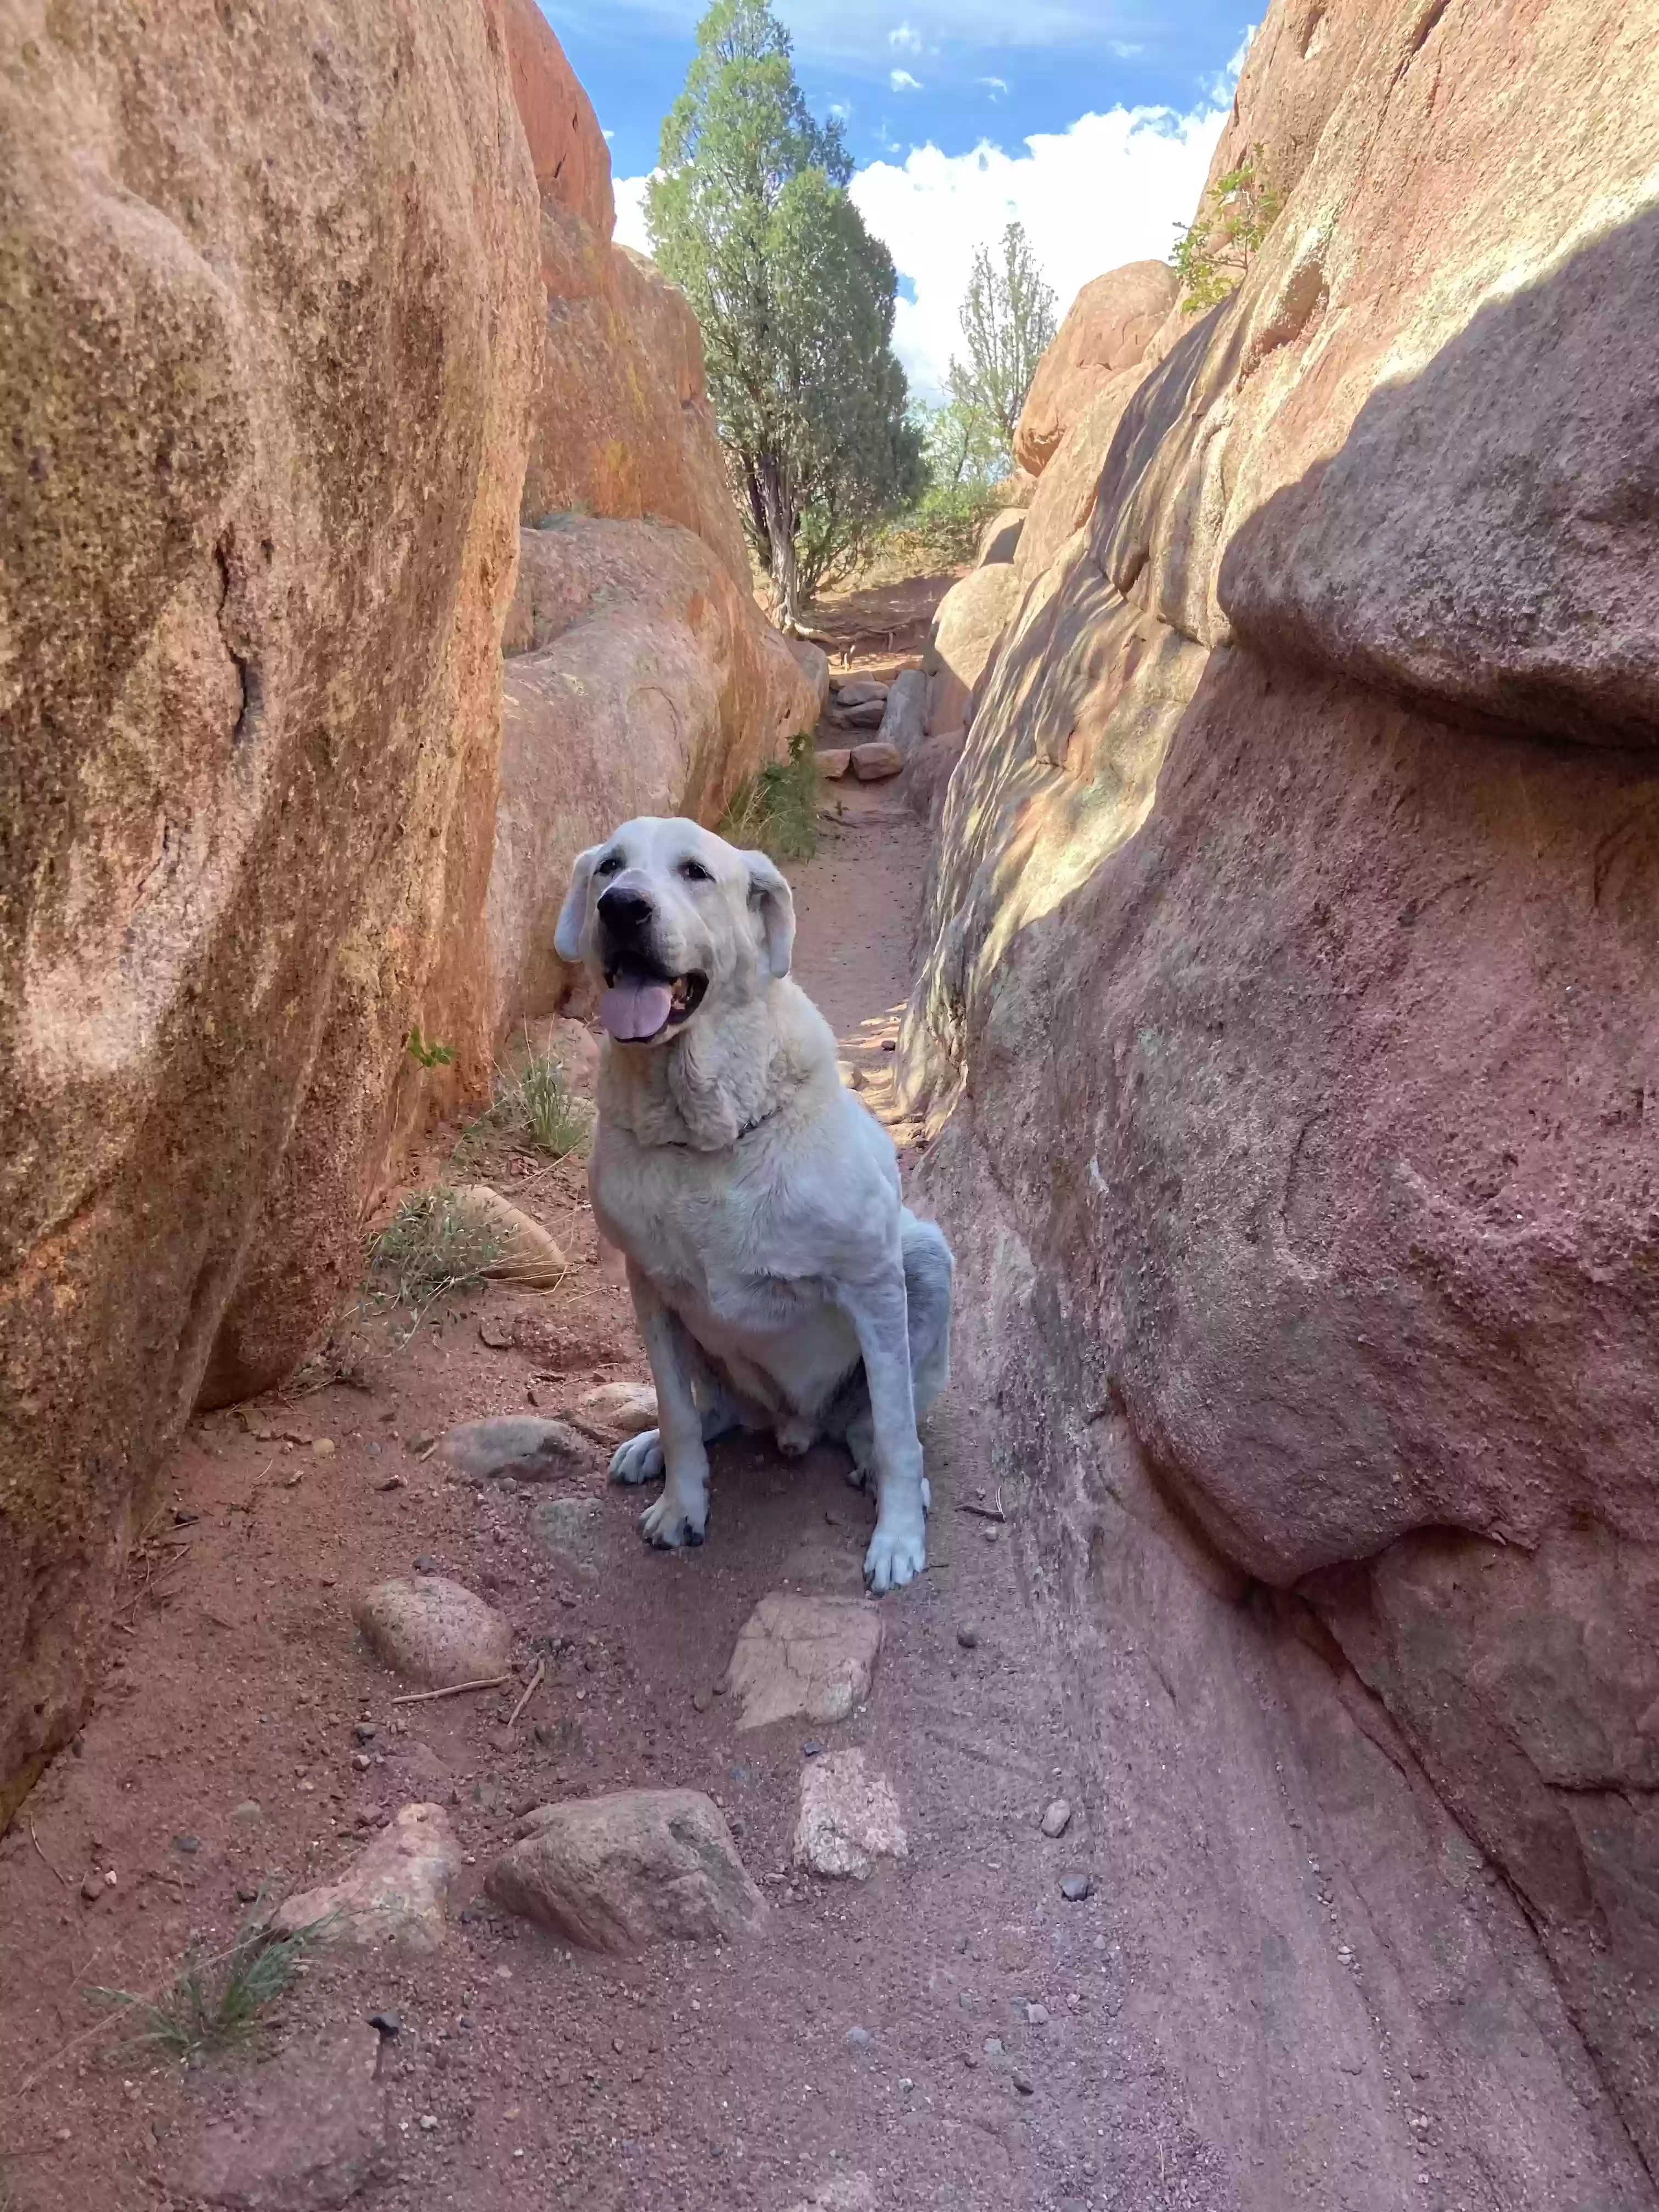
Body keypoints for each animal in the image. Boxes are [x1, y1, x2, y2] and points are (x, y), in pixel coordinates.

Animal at [555, 814, 955, 1593]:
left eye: (695, 872)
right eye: (609, 867)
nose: (621, 907)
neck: (701, 1134)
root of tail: (797, 1426)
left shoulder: (873, 1280)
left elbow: (897, 1428)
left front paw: (898, 1536)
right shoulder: (649, 1290)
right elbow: (678, 1410)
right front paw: (682, 1504)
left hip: (926, 1258)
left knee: (876, 1422)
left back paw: (876, 1467)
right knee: (714, 1411)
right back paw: (654, 1446)